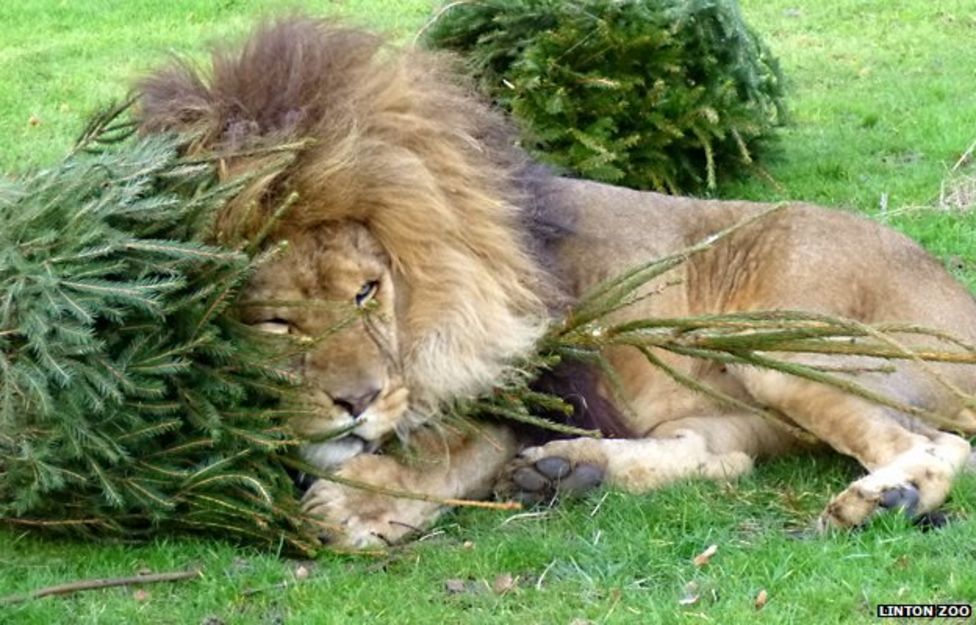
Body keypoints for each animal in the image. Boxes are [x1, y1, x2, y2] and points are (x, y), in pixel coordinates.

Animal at [138, 17, 976, 548]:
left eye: (367, 292)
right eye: (274, 322)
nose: (359, 400)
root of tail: (960, 304)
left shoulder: (517, 376)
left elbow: (448, 445)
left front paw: (361, 500)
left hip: (774, 338)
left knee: (933, 442)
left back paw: (882, 499)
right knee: (721, 456)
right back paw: (570, 471)